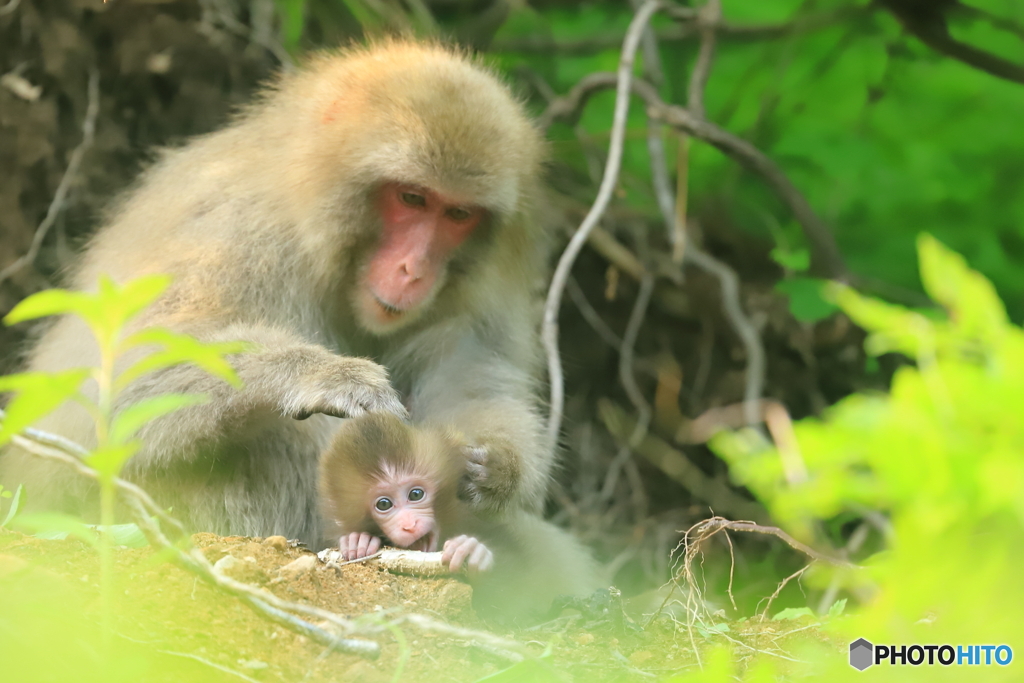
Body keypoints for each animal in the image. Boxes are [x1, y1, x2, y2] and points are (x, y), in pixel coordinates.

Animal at [0, 40, 552, 548]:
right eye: (412, 198)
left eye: (457, 214)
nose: (413, 269)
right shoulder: (234, 232)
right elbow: (108, 388)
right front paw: (318, 374)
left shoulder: (479, 292)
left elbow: (470, 382)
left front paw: (497, 465)